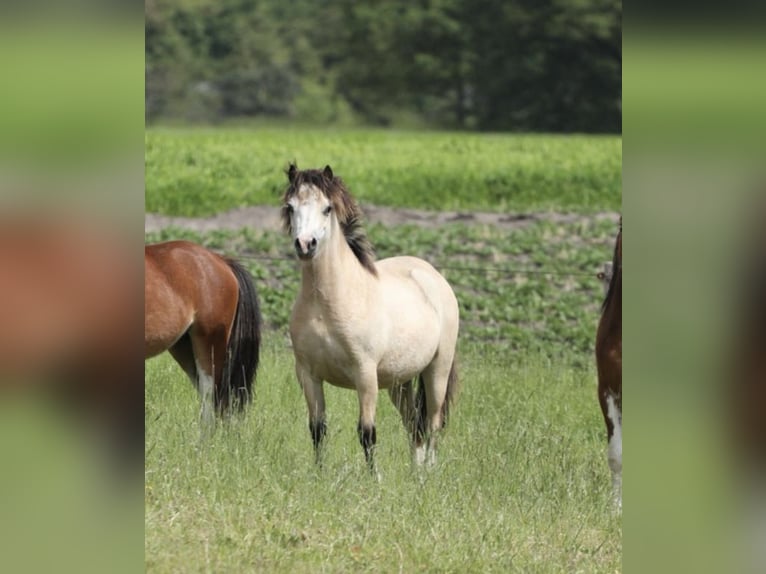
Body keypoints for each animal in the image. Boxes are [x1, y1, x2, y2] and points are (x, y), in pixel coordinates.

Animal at [284, 164, 460, 474]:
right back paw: (415, 474)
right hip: (400, 381)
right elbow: (317, 429)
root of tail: (433, 276)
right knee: (413, 424)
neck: (326, 305)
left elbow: (367, 432)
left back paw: (429, 472)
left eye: (327, 208)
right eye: (290, 207)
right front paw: (318, 474)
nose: (305, 244)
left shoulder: (365, 375)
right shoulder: (308, 374)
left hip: (437, 370)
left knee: (433, 423)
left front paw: (372, 478)